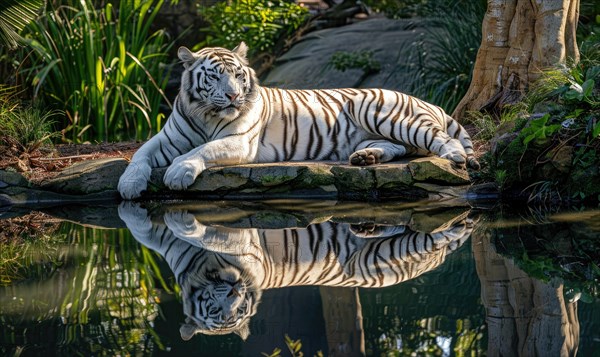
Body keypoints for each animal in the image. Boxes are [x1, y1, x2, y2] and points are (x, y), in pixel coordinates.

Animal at [117, 42, 480, 197]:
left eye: (238, 75)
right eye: (215, 77)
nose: (233, 96)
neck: (206, 112)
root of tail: (421, 99)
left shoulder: (240, 141)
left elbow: (199, 151)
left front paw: (178, 173)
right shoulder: (165, 139)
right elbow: (139, 155)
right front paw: (128, 185)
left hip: (385, 115)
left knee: (440, 139)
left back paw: (455, 157)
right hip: (376, 132)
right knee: (399, 148)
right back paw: (364, 158)